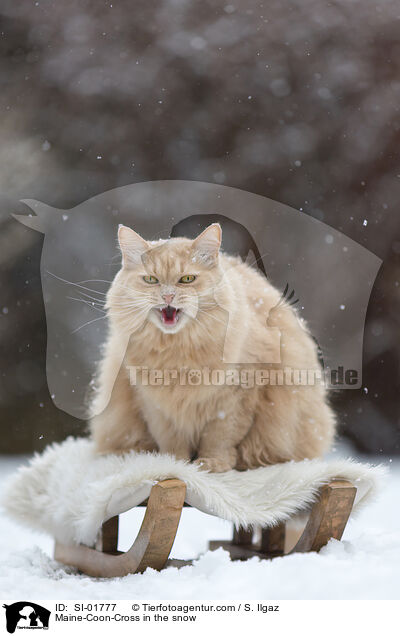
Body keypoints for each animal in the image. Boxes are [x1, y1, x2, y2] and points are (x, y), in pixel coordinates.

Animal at [90, 221, 334, 470]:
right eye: (151, 280)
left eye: (187, 279)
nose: (167, 296)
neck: (177, 350)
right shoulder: (155, 405)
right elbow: (172, 441)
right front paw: (175, 464)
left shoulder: (235, 397)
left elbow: (219, 438)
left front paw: (211, 463)